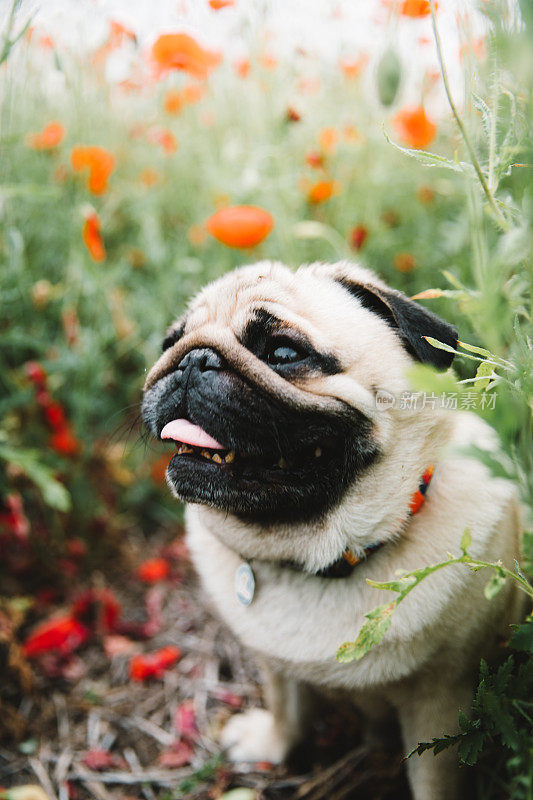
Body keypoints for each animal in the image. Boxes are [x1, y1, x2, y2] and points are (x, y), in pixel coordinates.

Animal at [142, 262, 524, 800]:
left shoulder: (442, 698)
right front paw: (272, 743)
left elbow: (435, 780)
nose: (192, 359)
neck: (323, 556)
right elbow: (286, 708)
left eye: (283, 353)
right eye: (169, 343)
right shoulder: (276, 666)